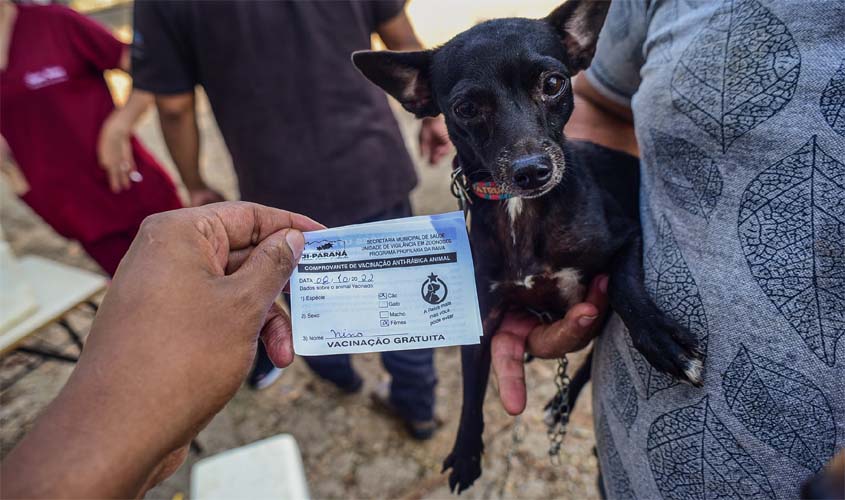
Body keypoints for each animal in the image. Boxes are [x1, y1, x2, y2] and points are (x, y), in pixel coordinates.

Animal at [352, 0, 704, 492]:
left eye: (553, 83)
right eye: (466, 107)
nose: (531, 170)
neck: (520, 211)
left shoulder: (627, 237)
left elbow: (625, 289)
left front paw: (663, 340)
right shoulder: (481, 318)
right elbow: (472, 389)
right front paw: (466, 451)